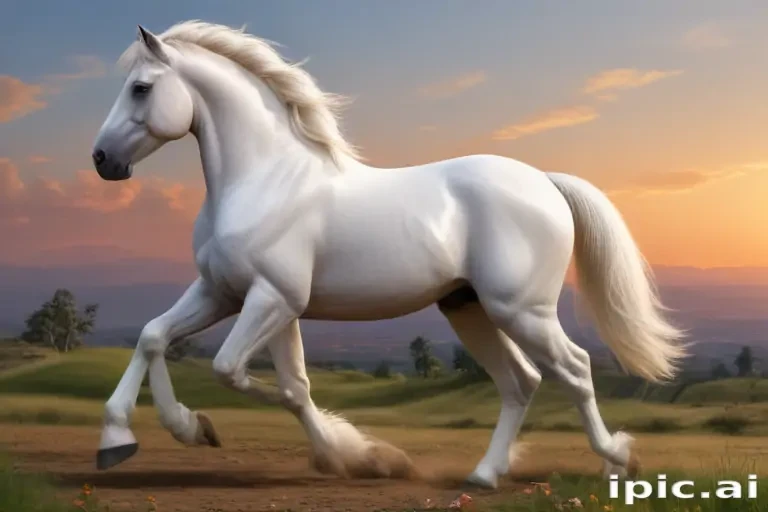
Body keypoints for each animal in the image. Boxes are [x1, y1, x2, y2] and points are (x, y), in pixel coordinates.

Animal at [91, 20, 687, 489]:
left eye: (140, 87)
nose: (101, 160)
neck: (264, 180)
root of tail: (545, 182)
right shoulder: (229, 294)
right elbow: (158, 339)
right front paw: (134, 437)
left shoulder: (272, 300)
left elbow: (243, 375)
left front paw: (352, 455)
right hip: (468, 308)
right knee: (521, 382)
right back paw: (484, 475)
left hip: (522, 310)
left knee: (576, 369)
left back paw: (618, 460)